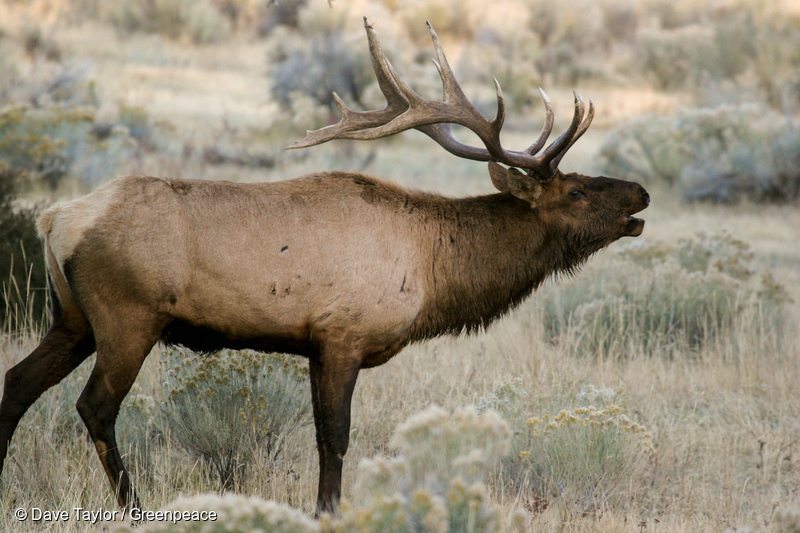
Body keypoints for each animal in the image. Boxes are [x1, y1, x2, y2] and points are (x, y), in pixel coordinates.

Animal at [0, 20, 648, 516]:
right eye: (577, 191)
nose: (640, 193)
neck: (433, 268)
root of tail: (56, 219)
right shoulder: (342, 334)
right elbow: (334, 438)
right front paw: (327, 511)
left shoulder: (314, 342)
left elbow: (321, 436)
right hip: (126, 317)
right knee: (95, 407)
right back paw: (136, 508)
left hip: (73, 319)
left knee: (17, 382)